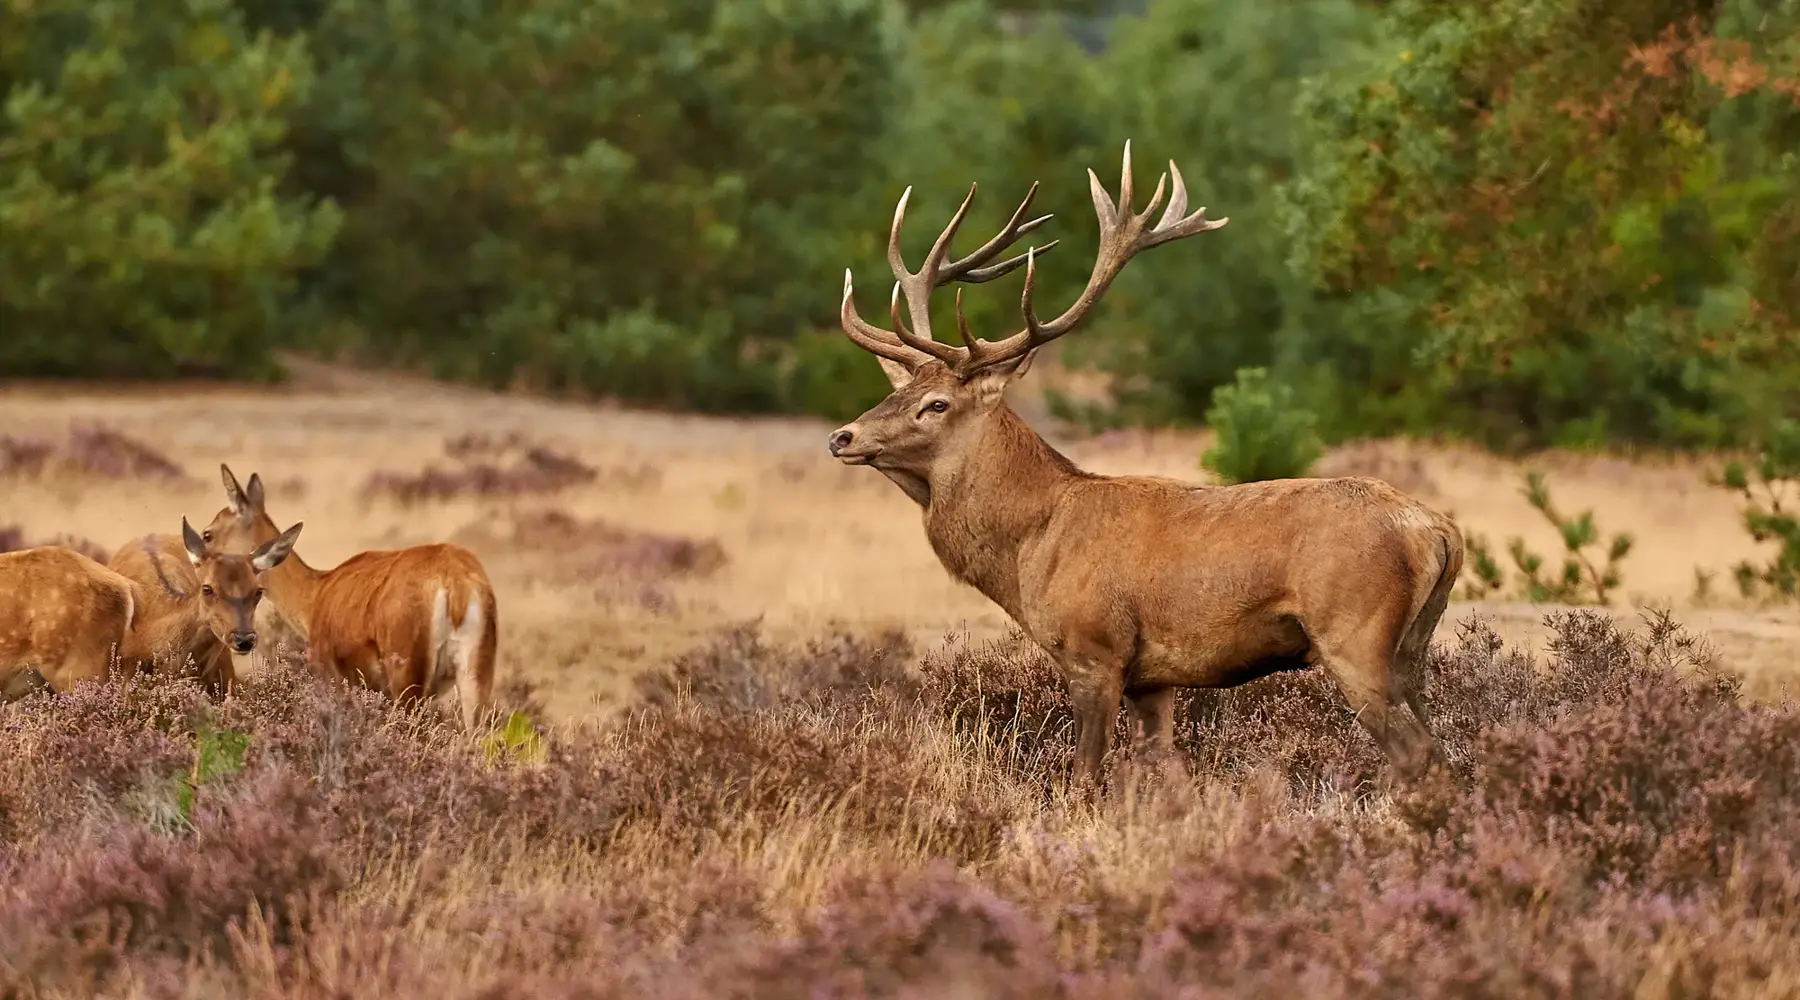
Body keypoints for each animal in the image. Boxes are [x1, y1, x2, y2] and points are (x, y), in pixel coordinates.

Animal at [198, 464, 499, 731]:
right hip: (474, 678)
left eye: (207, 533)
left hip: (407, 681)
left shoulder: (333, 677)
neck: (317, 594)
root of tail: (455, 584)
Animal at [826, 140, 1464, 789]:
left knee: (1420, 753)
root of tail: (1438, 531)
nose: (842, 436)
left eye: (937, 404)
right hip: (1412, 650)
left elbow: (1086, 776)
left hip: (1353, 634)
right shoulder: (1152, 680)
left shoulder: (1095, 651)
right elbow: (1158, 772)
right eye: (897, 391)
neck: (1031, 548)